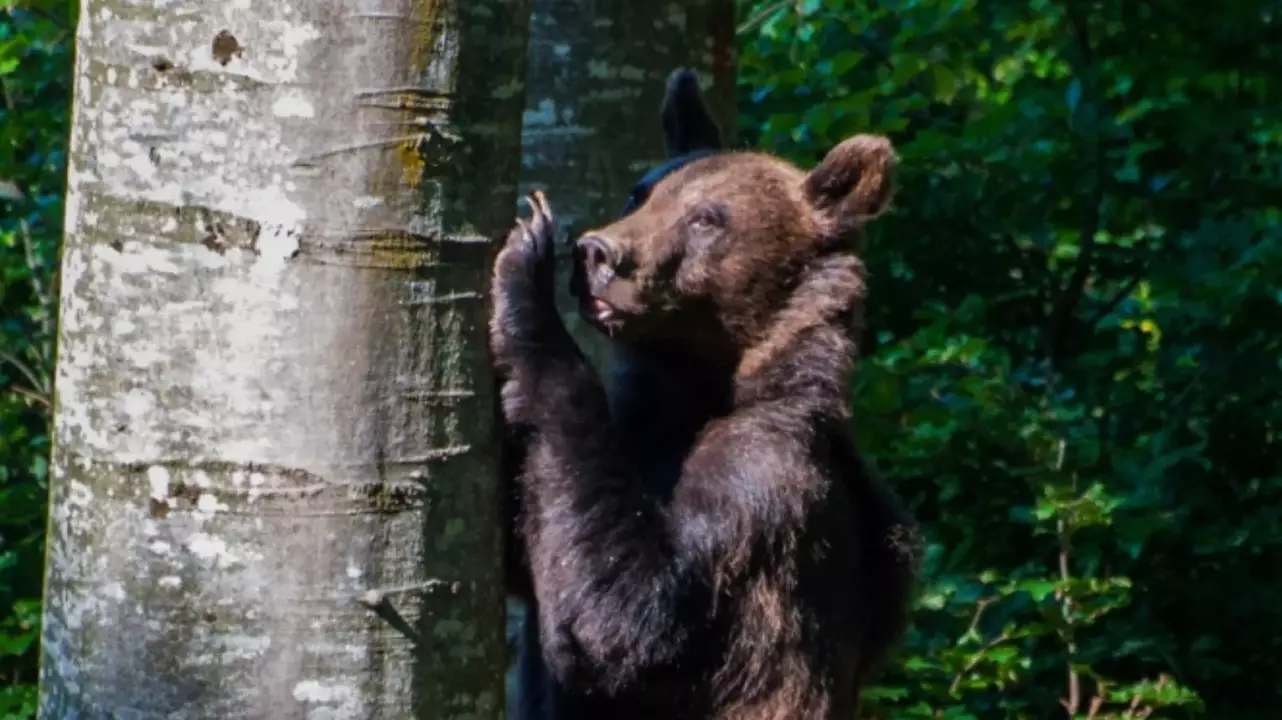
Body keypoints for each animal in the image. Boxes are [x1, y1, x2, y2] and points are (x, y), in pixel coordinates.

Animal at [492, 68, 923, 717]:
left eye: (707, 218)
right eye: (639, 192)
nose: (597, 255)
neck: (698, 386)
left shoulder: (761, 487)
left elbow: (630, 617)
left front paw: (525, 267)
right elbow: (529, 543)